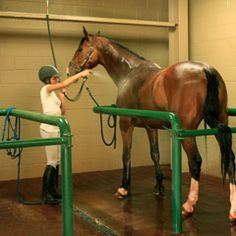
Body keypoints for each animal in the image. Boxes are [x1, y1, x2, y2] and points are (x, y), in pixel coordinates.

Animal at [68, 27, 236, 221]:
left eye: (80, 49)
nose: (70, 69)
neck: (129, 73)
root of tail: (206, 70)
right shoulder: (151, 128)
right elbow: (155, 154)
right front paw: (159, 186)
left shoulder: (125, 124)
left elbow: (126, 155)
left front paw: (124, 188)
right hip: (219, 125)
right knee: (230, 159)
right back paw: (233, 210)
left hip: (188, 132)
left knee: (195, 161)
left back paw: (188, 205)